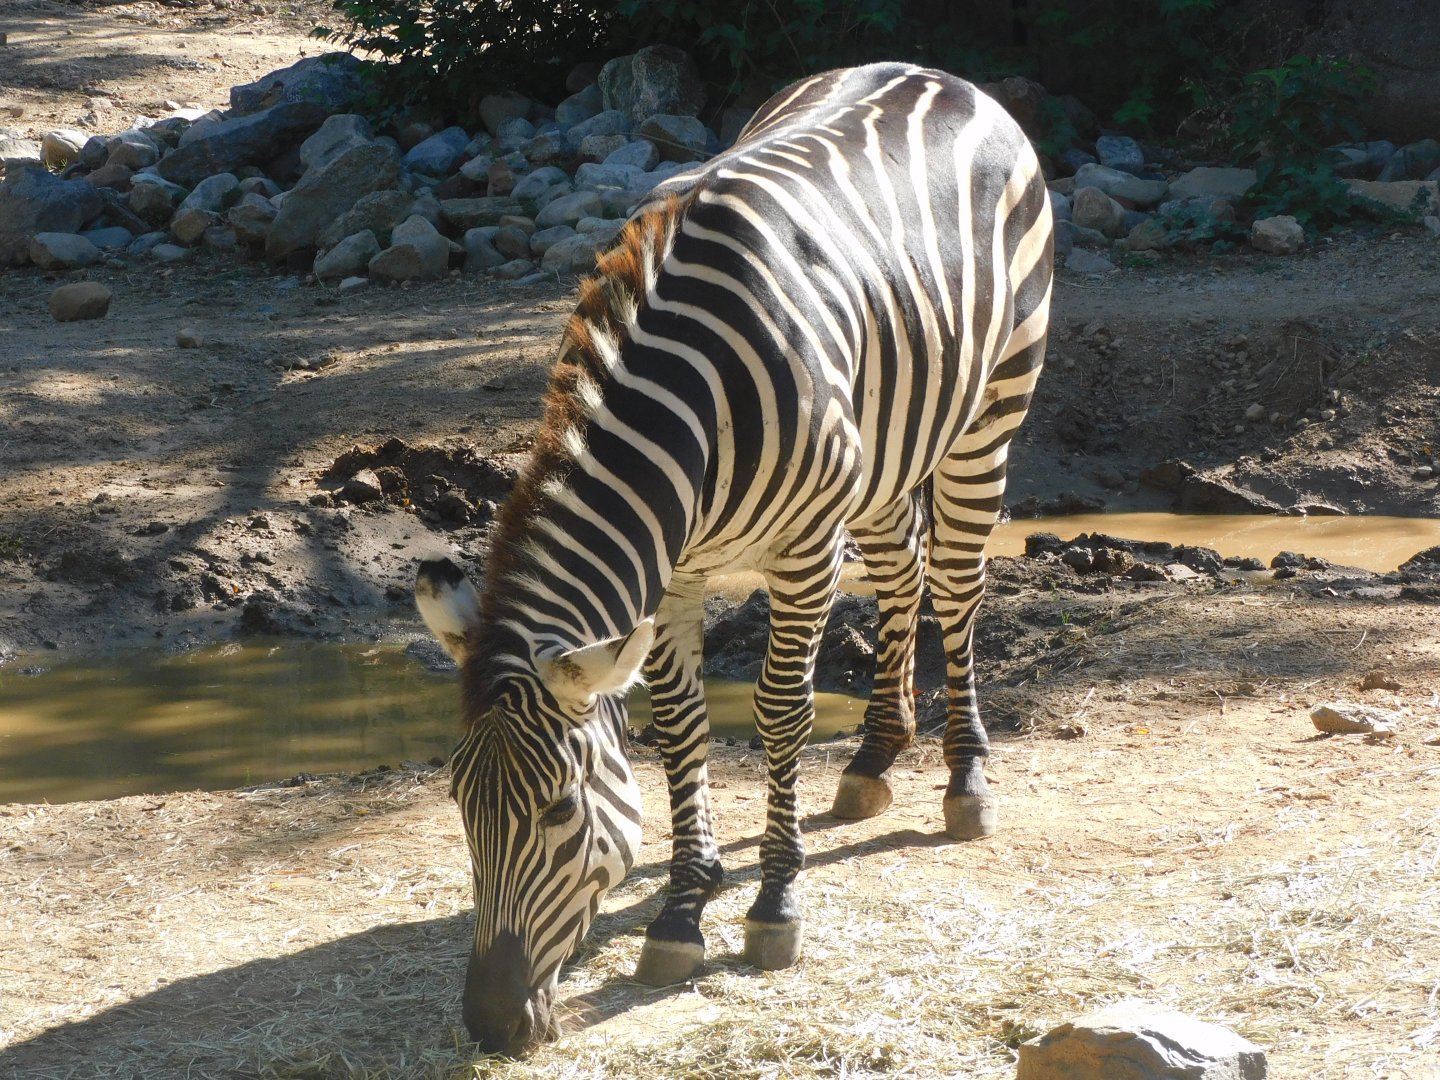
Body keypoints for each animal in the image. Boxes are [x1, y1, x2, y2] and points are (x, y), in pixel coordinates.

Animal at [415, 61, 1053, 1052]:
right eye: (456, 805)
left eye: (558, 811)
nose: (490, 1026)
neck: (688, 410)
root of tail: (934, 73)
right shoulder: (672, 574)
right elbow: (680, 728)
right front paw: (683, 909)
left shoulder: (804, 549)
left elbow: (780, 713)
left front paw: (774, 905)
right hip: (885, 451)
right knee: (903, 572)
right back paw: (874, 759)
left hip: (991, 411)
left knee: (955, 583)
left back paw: (965, 779)